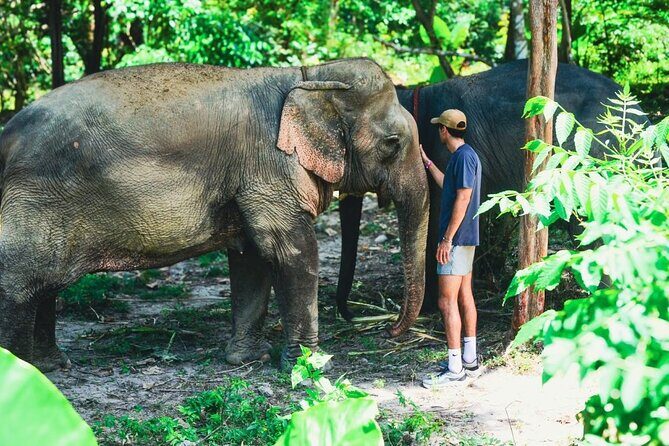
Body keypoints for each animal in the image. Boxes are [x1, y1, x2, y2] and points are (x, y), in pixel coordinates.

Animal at [0, 58, 428, 372]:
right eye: (392, 143)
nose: (389, 331)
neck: (310, 75)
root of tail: (6, 136)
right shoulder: (267, 167)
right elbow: (291, 252)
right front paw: (310, 366)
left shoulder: (249, 180)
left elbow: (252, 258)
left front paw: (247, 359)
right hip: (36, 198)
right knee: (21, 281)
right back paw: (27, 375)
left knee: (45, 284)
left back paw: (51, 368)